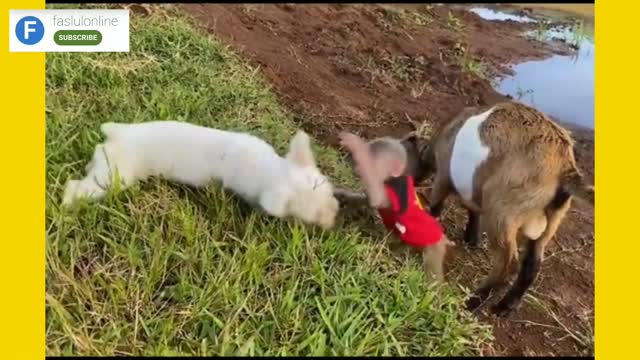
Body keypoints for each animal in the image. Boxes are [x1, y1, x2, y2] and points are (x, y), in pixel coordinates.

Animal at [62, 121, 340, 228]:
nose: (334, 218)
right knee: (76, 187)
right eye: (314, 217)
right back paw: (65, 205)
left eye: (329, 192)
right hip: (113, 177)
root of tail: (115, 134)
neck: (270, 168)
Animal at [402, 100, 592, 316]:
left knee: (509, 263)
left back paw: (472, 301)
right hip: (550, 222)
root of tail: (565, 170)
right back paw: (505, 306)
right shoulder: (474, 189)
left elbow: (437, 205)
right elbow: (473, 209)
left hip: (502, 212)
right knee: (532, 264)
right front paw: (471, 238)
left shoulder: (444, 174)